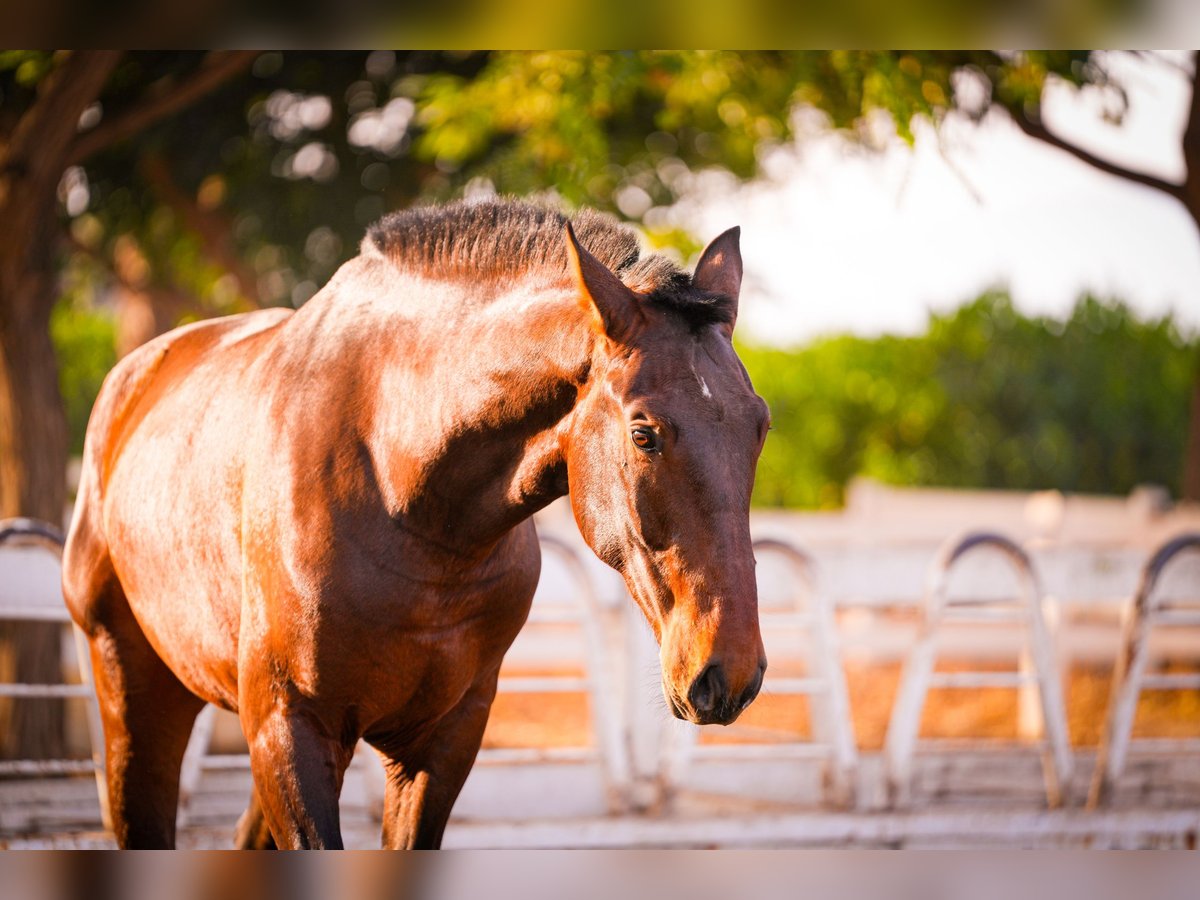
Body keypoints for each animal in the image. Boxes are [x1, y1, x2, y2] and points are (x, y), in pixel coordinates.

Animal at [63, 199, 768, 854]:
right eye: (644, 432)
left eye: (760, 425)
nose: (728, 674)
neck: (400, 491)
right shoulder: (289, 729)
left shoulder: (443, 742)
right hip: (137, 695)